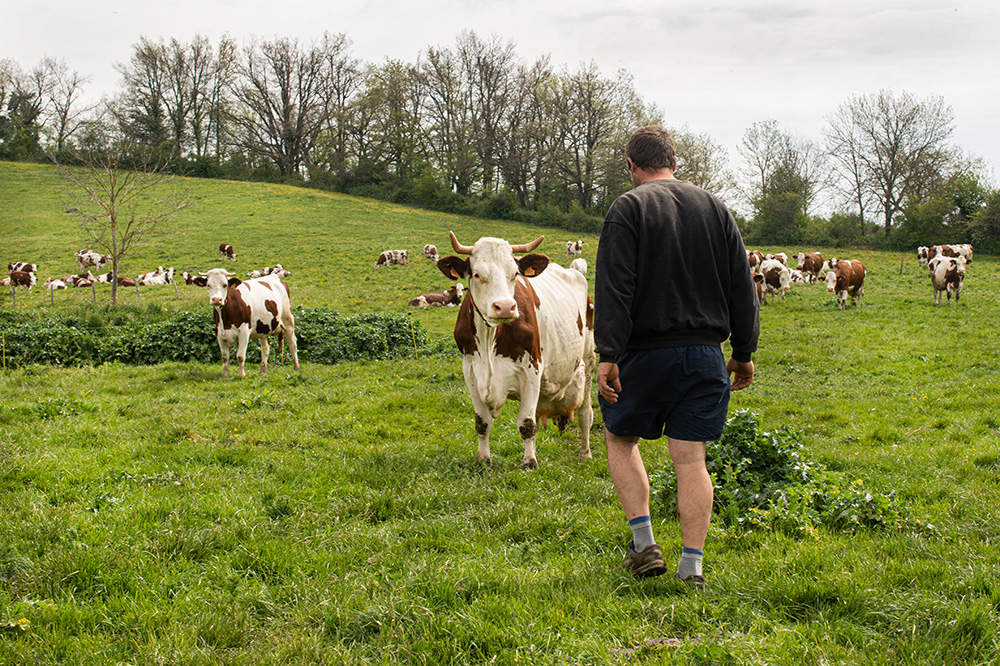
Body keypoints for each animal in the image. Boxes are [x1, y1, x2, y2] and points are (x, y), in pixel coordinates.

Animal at [438, 230, 592, 466]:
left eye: (515, 274)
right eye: (476, 275)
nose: (505, 307)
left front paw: (529, 462)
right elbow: (482, 422)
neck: (489, 339)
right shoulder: (470, 371)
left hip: (590, 361)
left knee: (586, 412)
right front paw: (483, 460)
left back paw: (585, 453)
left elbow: (526, 424)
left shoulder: (532, 370)